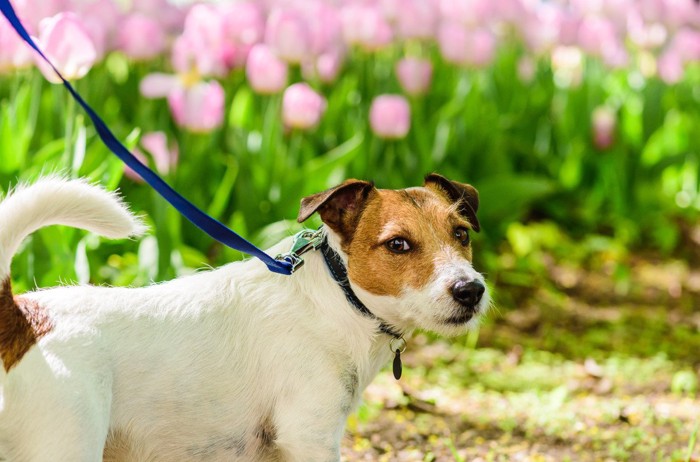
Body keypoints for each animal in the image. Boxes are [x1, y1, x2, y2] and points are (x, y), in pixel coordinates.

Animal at [0, 174, 490, 462]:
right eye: (398, 244)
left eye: (461, 234)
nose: (471, 291)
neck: (338, 296)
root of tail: (22, 317)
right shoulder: (309, 436)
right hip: (67, 441)